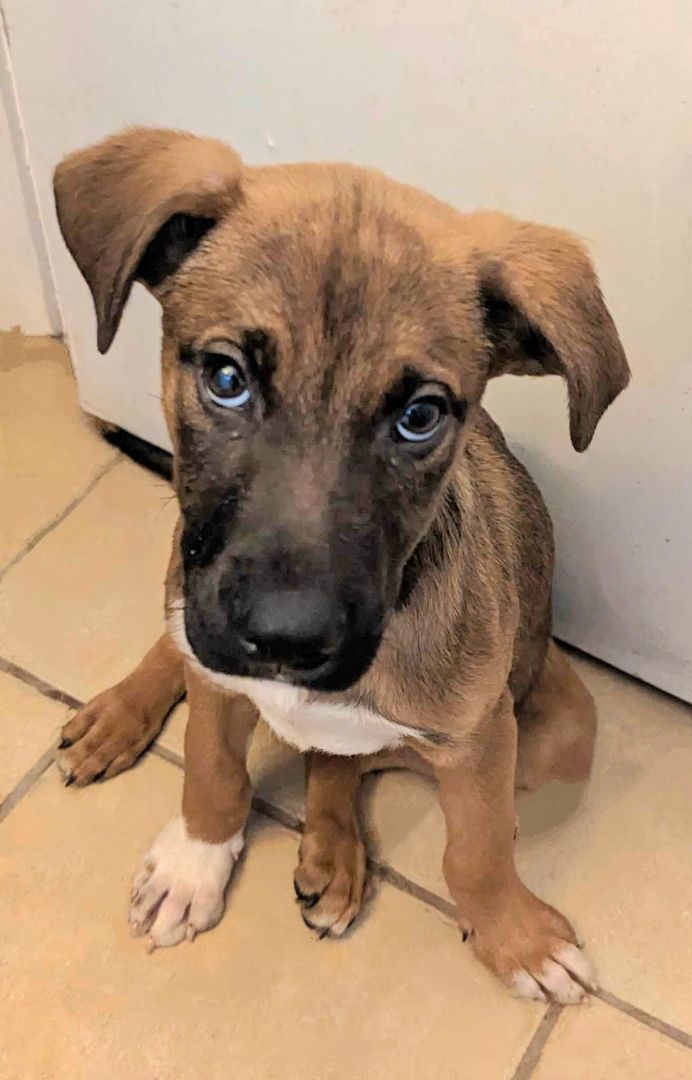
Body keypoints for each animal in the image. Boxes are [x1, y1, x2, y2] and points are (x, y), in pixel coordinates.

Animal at [51, 130, 630, 1006]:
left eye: (420, 416)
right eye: (226, 379)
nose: (284, 640)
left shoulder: (483, 734)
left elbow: (478, 847)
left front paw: (514, 934)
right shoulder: (215, 665)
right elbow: (210, 771)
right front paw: (194, 863)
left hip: (556, 726)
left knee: (341, 758)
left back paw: (333, 850)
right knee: (184, 652)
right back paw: (121, 712)